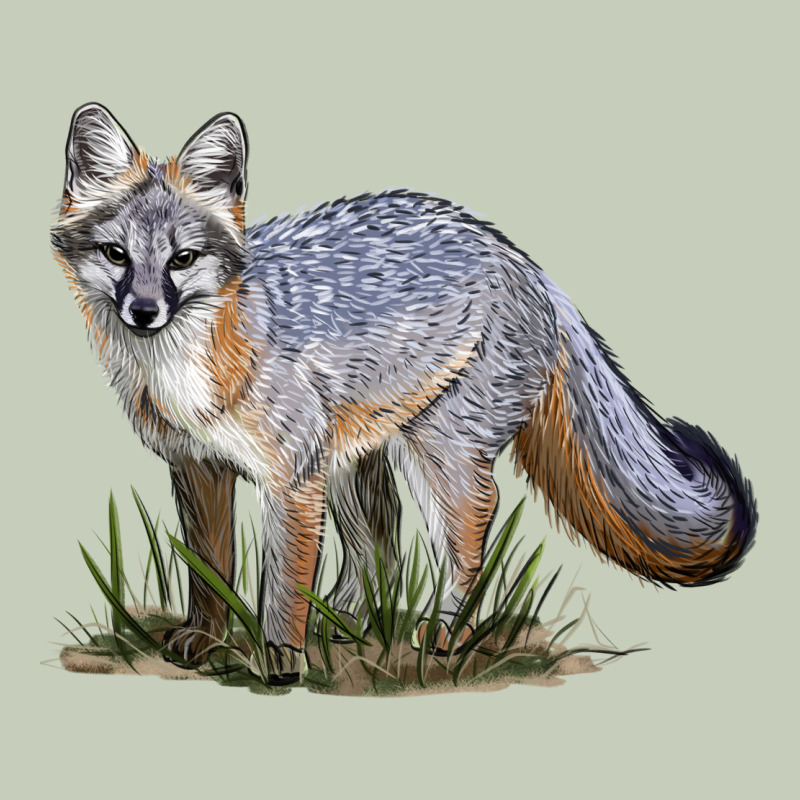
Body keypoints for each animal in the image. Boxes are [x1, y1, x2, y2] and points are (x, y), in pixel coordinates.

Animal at [52, 104, 756, 685]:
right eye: (116, 255)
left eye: (183, 259)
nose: (144, 311)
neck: (190, 371)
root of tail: (516, 254)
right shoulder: (199, 467)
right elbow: (210, 569)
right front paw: (206, 638)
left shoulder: (291, 479)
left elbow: (282, 583)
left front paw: (280, 657)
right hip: (352, 461)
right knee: (379, 547)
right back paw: (348, 620)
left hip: (435, 452)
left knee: (470, 527)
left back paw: (443, 630)